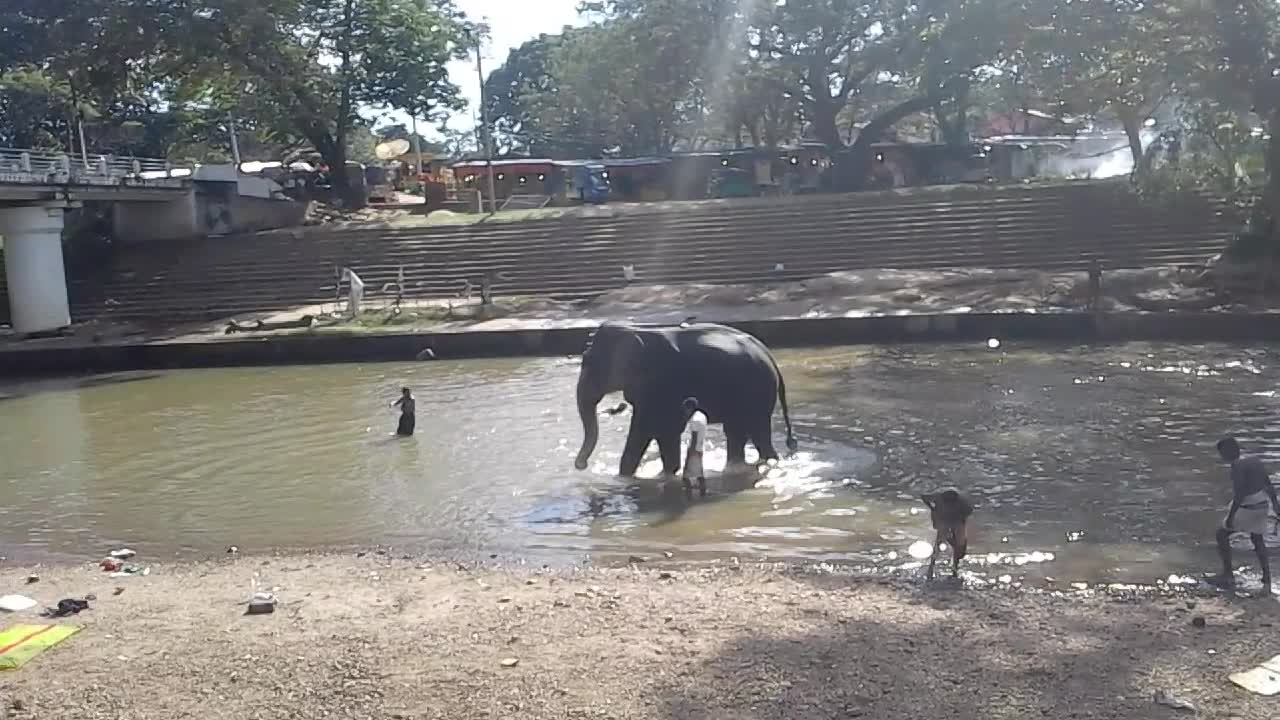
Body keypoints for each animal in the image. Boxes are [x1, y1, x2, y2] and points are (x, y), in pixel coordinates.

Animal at [573, 320, 793, 476]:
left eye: (588, 362)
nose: (581, 465)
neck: (635, 330)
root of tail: (770, 357)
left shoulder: (662, 384)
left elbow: (653, 428)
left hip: (758, 393)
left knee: (756, 433)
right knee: (738, 433)